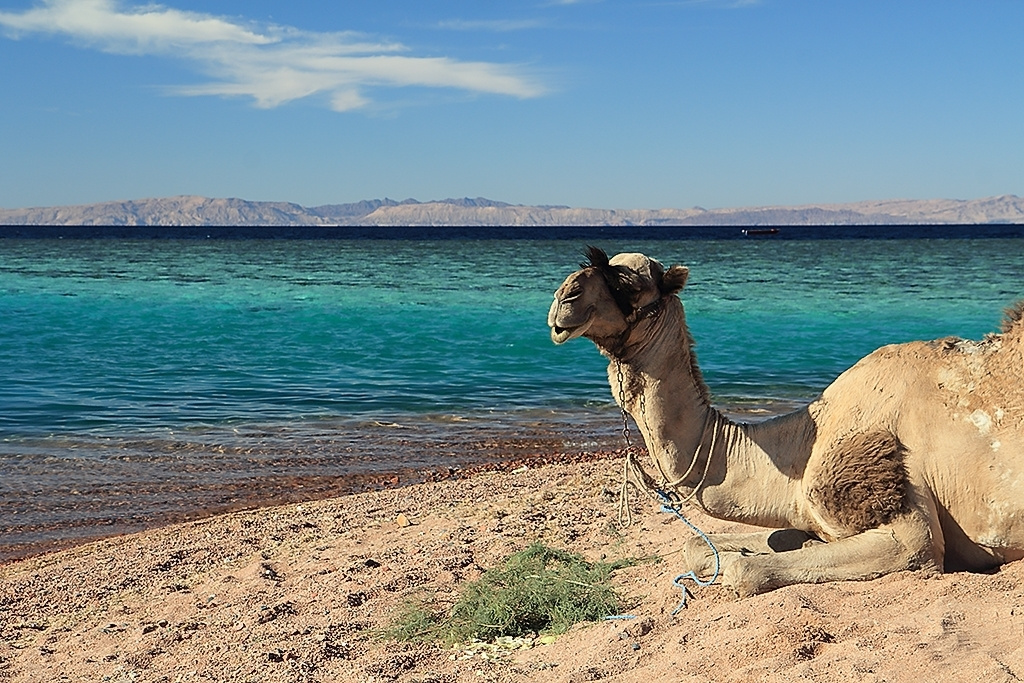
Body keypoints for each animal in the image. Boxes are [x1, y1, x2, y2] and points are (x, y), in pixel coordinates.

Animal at [548, 247, 1024, 596]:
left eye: (629, 282)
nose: (563, 299)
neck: (809, 441)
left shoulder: (908, 528)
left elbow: (744, 571)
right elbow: (697, 546)